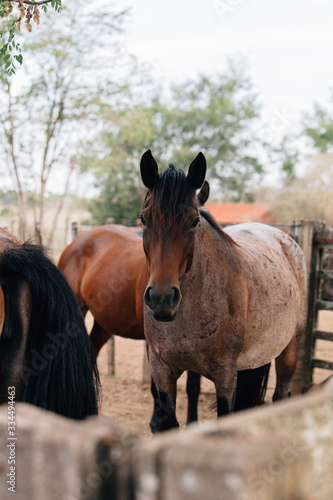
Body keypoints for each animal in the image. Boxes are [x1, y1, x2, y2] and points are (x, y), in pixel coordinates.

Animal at [57, 180, 208, 426]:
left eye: (196, 222)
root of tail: (77, 241)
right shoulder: (152, 344)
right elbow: (158, 390)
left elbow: (193, 388)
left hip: (104, 323)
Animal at [139, 147, 308, 430]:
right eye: (143, 219)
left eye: (194, 221)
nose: (162, 299)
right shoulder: (162, 371)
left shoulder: (225, 375)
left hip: (289, 349)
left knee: (280, 396)